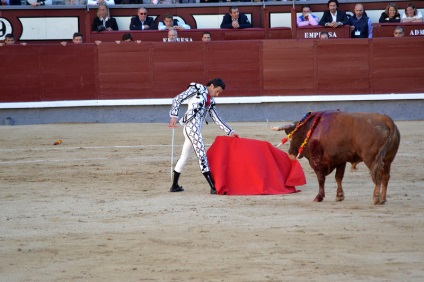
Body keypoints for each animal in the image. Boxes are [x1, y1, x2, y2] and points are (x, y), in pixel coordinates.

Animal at [270, 110, 400, 205]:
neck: (312, 128)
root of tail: (388, 121)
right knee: (386, 177)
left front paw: (319, 197)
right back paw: (383, 199)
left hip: (371, 159)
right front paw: (339, 196)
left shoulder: (316, 160)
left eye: (293, 135)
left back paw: (376, 198)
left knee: (378, 176)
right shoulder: (340, 160)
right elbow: (339, 177)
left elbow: (321, 178)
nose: (290, 153)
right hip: (388, 160)